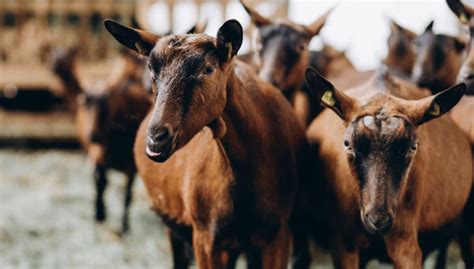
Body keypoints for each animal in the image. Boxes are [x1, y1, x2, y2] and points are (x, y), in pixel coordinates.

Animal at [51, 48, 150, 232]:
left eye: (106, 106)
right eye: (85, 105)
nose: (93, 136)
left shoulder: (131, 167)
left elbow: (127, 194)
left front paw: (124, 226)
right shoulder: (98, 157)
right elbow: (100, 185)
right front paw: (99, 214)